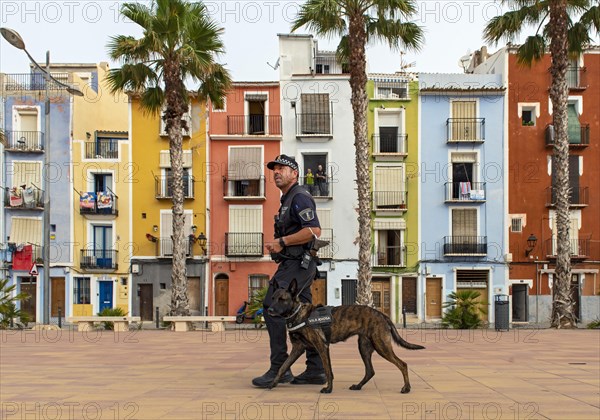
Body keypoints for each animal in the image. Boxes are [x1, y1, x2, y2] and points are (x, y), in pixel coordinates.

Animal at [268, 278, 422, 394]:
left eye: (282, 299)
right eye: (273, 298)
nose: (269, 309)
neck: (297, 314)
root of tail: (382, 315)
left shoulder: (322, 346)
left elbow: (328, 370)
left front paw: (328, 389)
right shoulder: (298, 348)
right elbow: (282, 367)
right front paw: (273, 383)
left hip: (381, 346)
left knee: (402, 364)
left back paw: (406, 388)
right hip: (364, 348)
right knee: (370, 371)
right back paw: (358, 386)